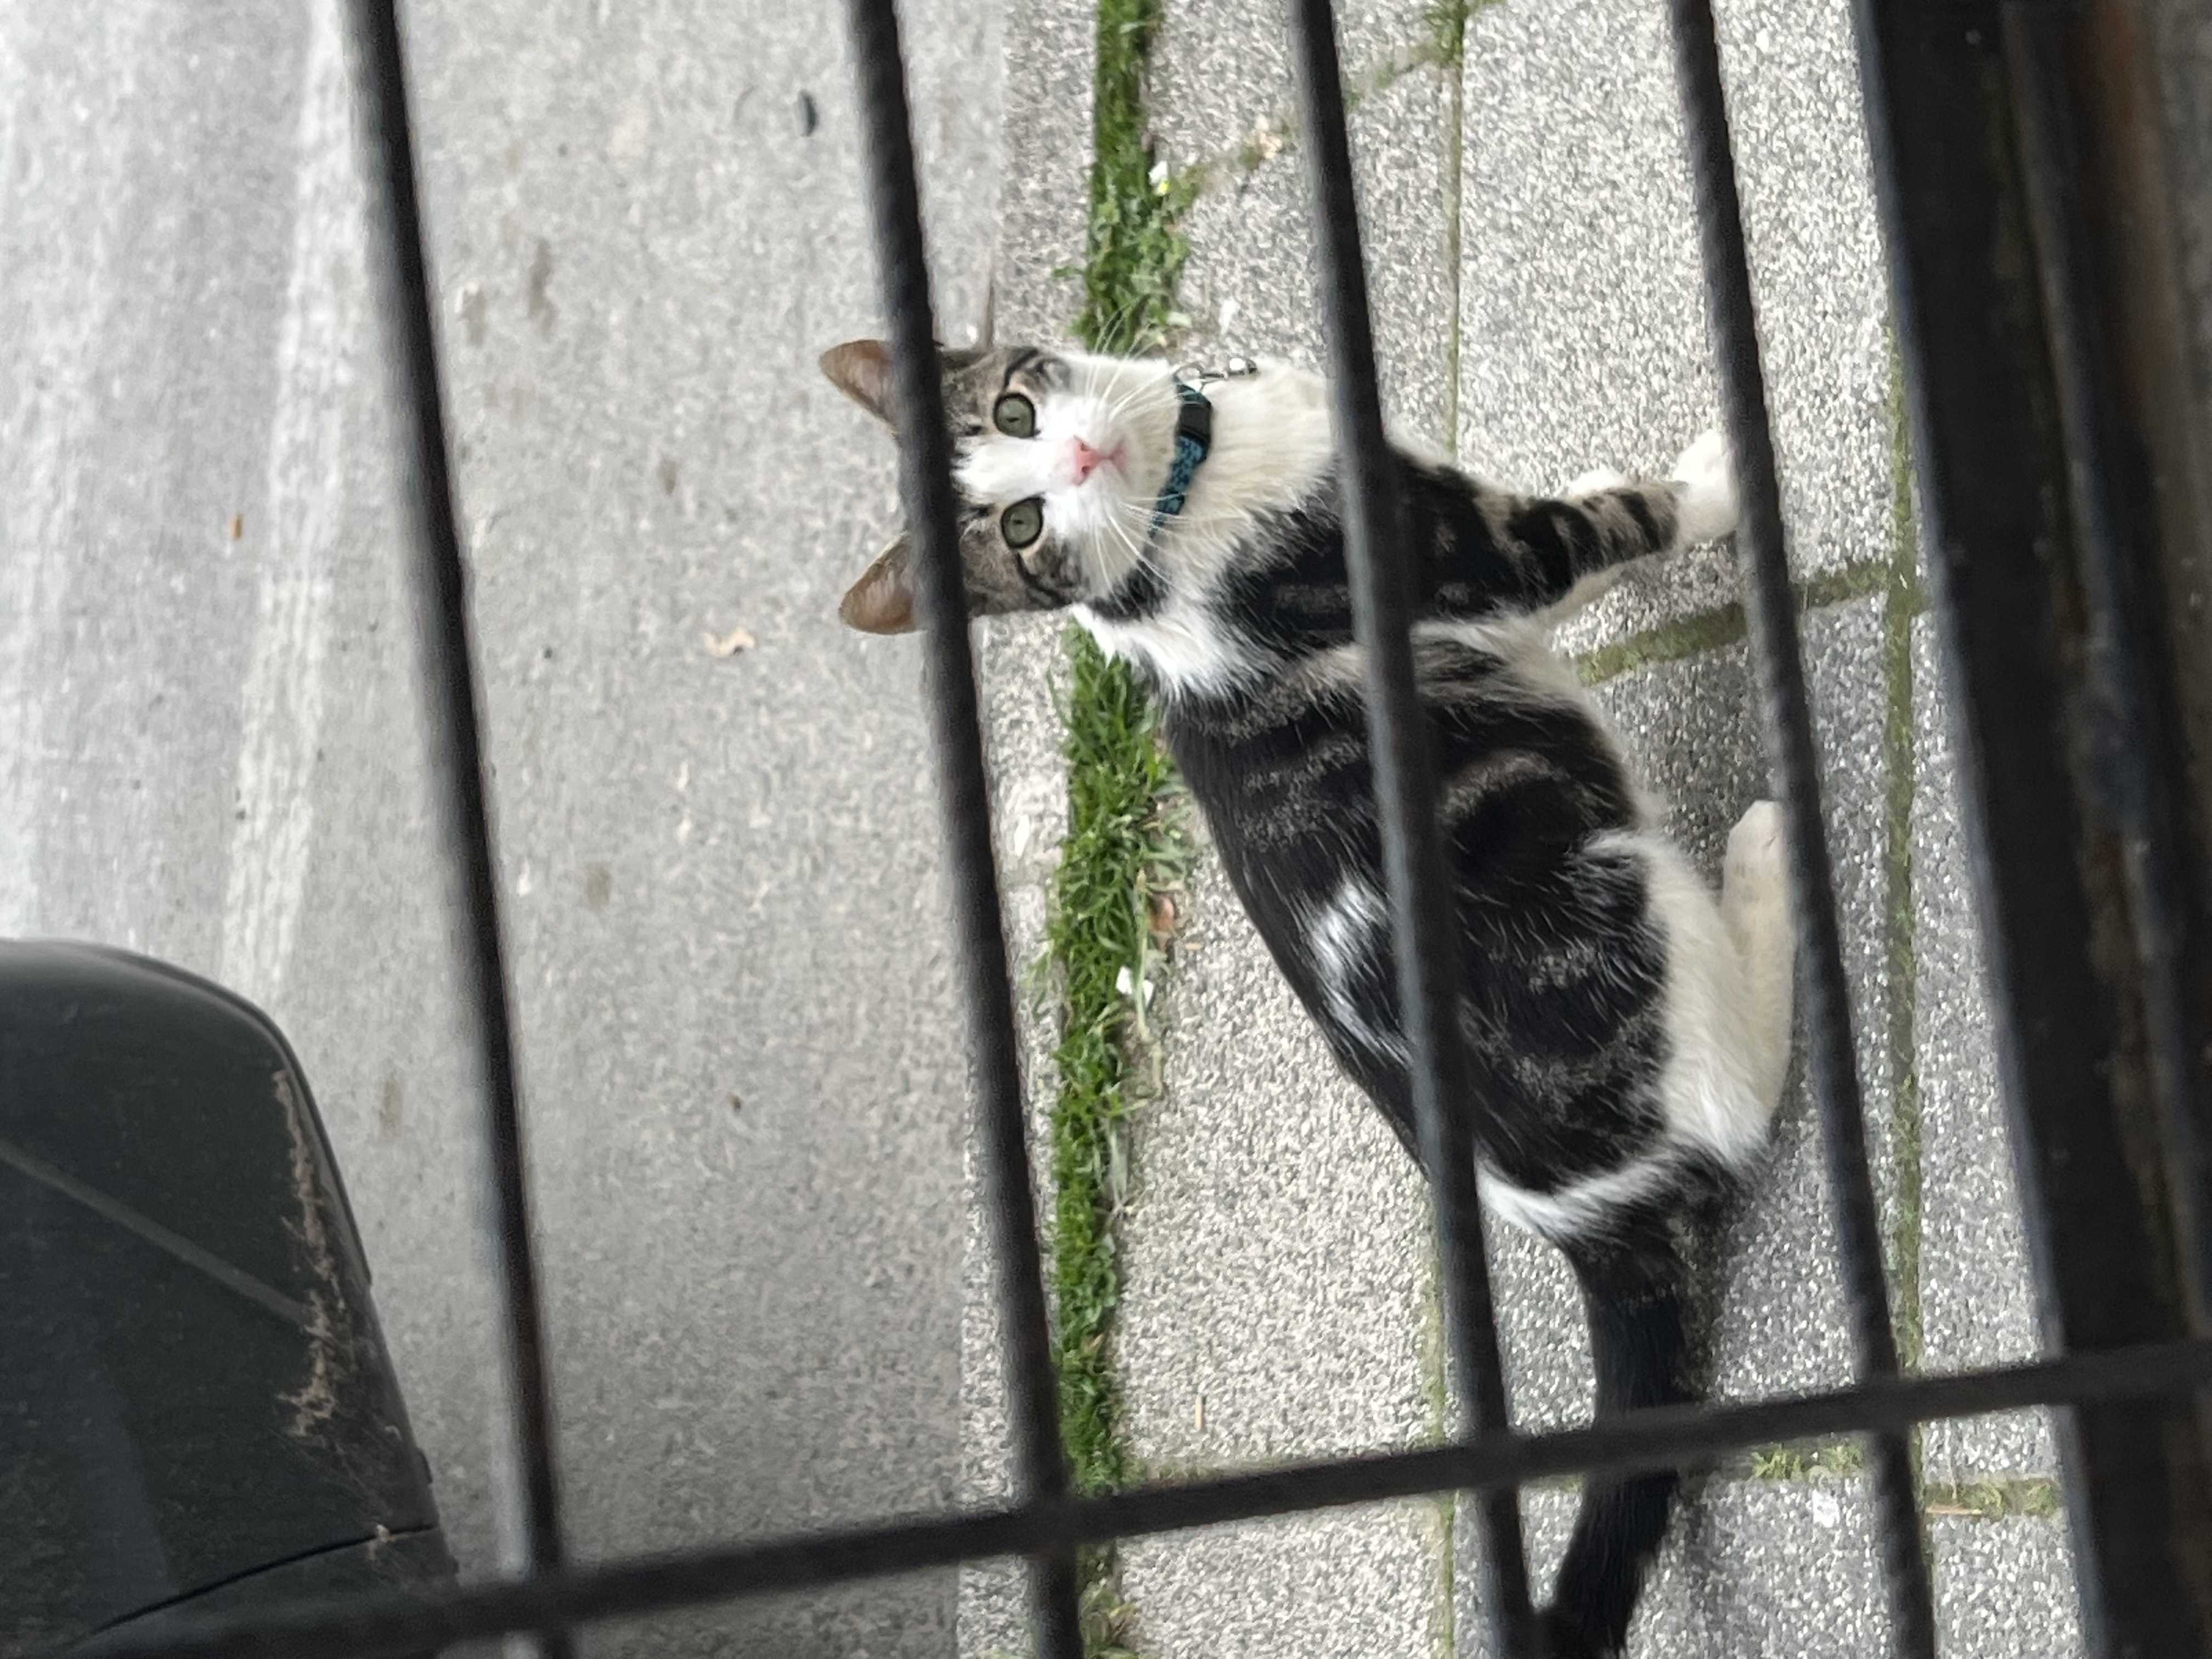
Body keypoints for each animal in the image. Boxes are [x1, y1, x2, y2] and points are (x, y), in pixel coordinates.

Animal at [820, 337, 1794, 1659]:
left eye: (1015, 416)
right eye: (1022, 527)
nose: (1078, 456)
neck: (1182, 499)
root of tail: (1588, 1224)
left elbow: (1553, 584)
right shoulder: (1455, 549)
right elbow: (1601, 532)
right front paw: (1713, 477)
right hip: (1605, 893)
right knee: (1739, 1098)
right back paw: (1766, 860)